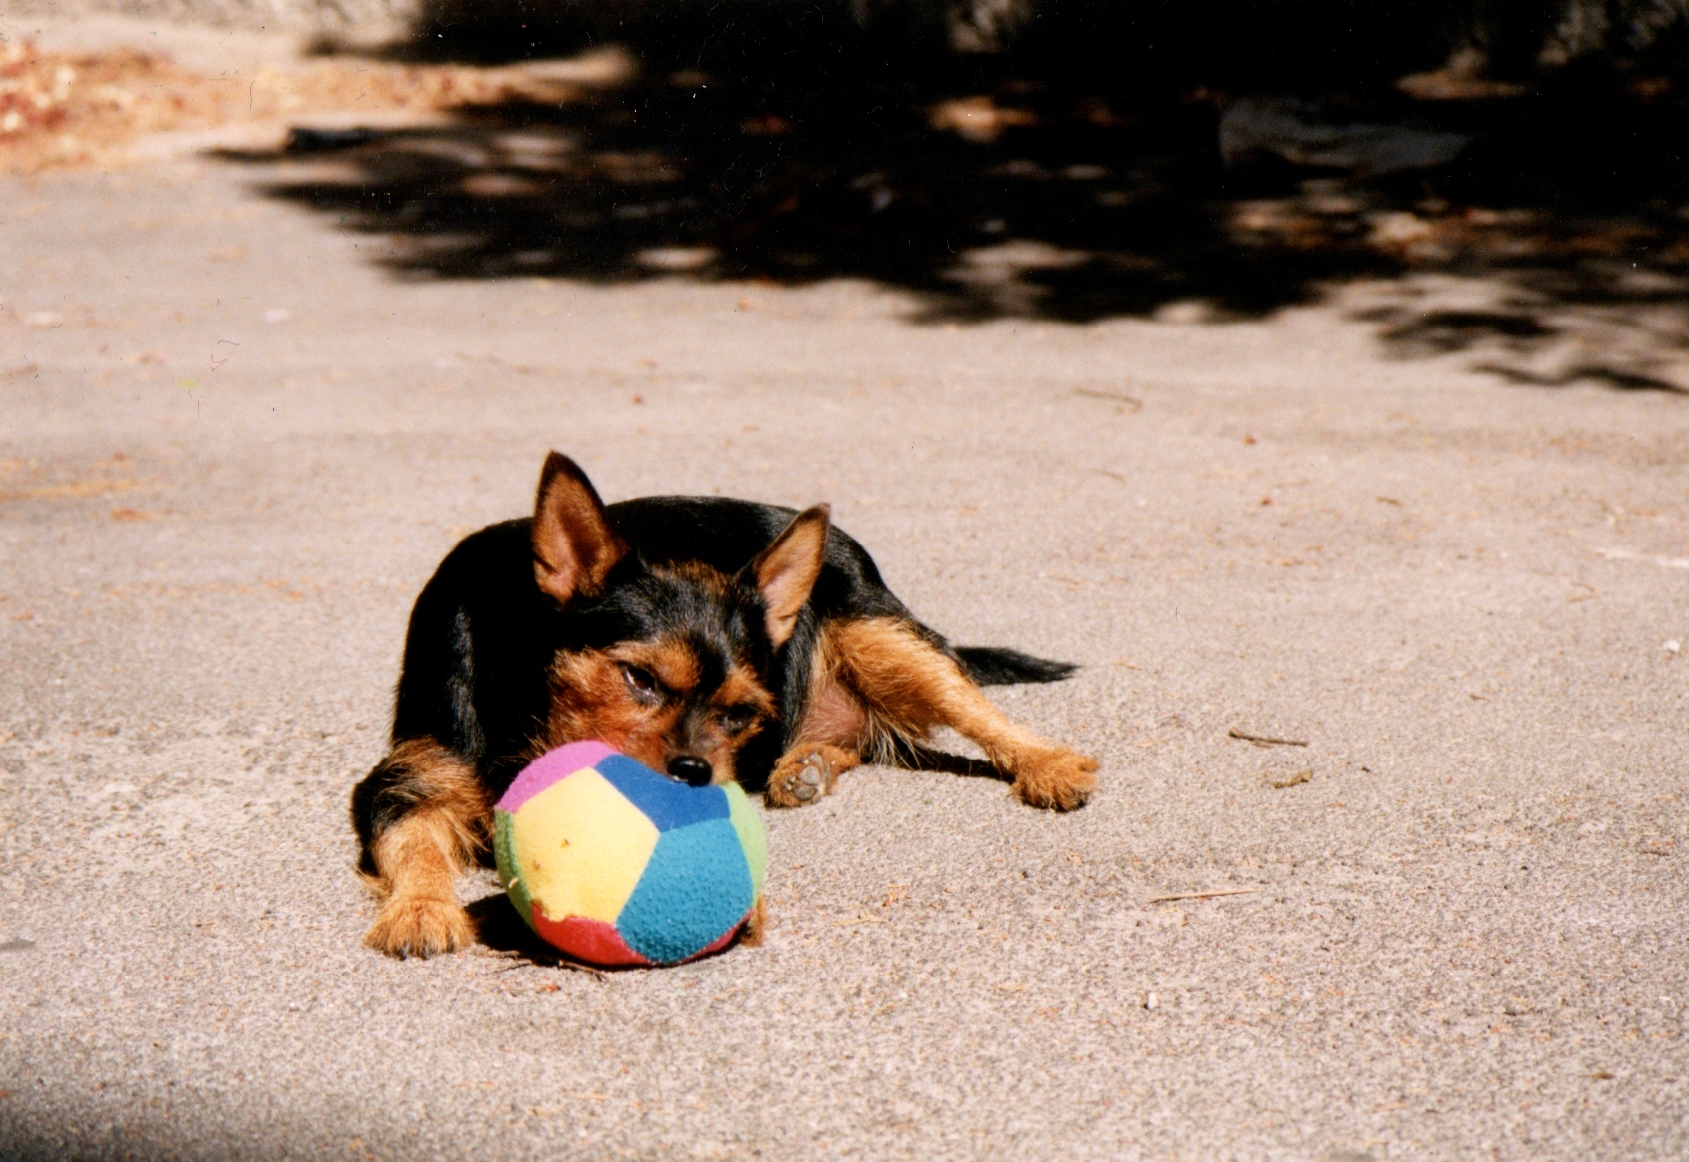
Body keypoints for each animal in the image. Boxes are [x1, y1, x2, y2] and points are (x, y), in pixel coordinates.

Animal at [353, 452, 1094, 952]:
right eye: (639, 679)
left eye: (737, 714)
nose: (693, 773)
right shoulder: (407, 778)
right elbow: (411, 842)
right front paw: (421, 908)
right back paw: (807, 765)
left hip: (881, 633)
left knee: (970, 705)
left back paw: (1048, 763)